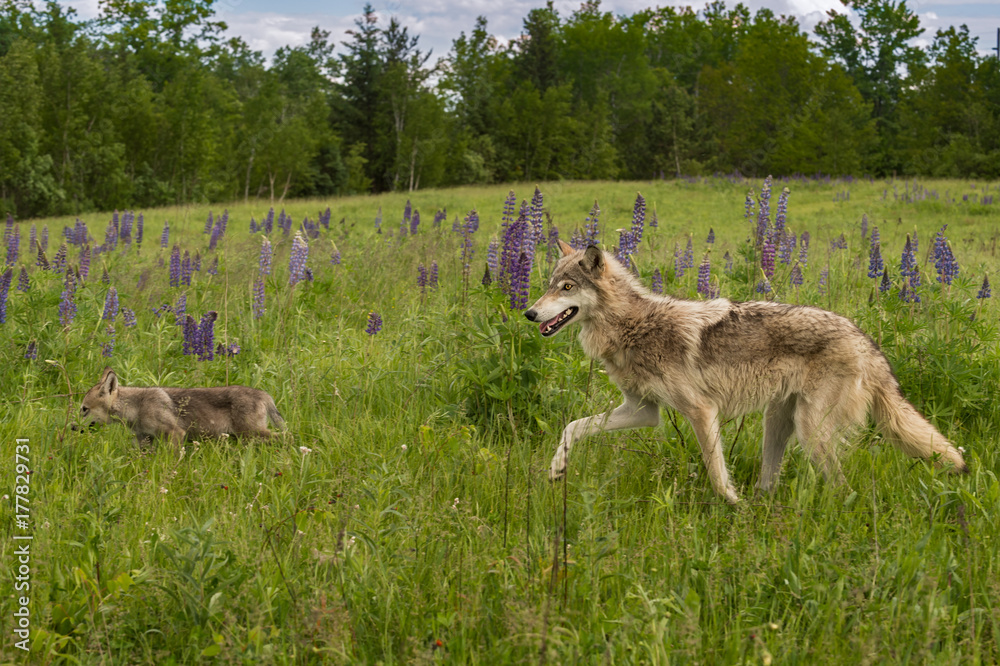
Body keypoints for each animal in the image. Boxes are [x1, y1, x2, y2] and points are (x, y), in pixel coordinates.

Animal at [77, 367, 285, 453]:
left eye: (84, 409)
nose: (72, 427)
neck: (137, 407)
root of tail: (265, 395)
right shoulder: (144, 439)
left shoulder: (176, 433)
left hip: (252, 434)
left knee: (287, 437)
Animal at [524, 241, 967, 503]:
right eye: (549, 285)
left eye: (566, 287)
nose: (528, 313)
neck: (633, 326)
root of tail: (867, 340)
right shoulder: (643, 411)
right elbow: (573, 427)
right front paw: (557, 469)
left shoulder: (701, 411)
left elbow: (716, 472)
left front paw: (731, 508)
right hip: (780, 421)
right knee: (773, 481)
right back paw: (761, 506)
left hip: (811, 432)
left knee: (843, 488)